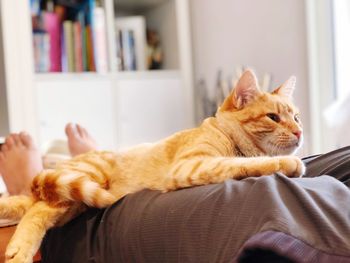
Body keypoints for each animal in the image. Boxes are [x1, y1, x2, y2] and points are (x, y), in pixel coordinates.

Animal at [0, 69, 304, 262]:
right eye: (273, 117)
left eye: (297, 118)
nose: (300, 132)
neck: (227, 135)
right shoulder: (192, 164)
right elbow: (242, 163)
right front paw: (287, 162)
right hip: (88, 179)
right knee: (36, 208)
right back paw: (19, 251)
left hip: (72, 202)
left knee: (31, 205)